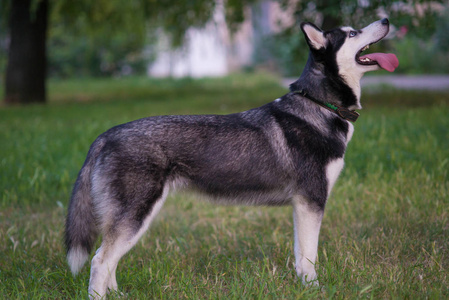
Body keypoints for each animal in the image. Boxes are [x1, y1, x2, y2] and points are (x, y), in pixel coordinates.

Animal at [65, 18, 398, 298]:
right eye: (352, 33)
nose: (385, 19)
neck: (320, 104)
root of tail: (106, 135)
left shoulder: (301, 206)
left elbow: (299, 253)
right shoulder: (311, 201)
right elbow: (309, 256)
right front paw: (314, 289)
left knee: (110, 260)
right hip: (136, 214)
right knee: (100, 260)